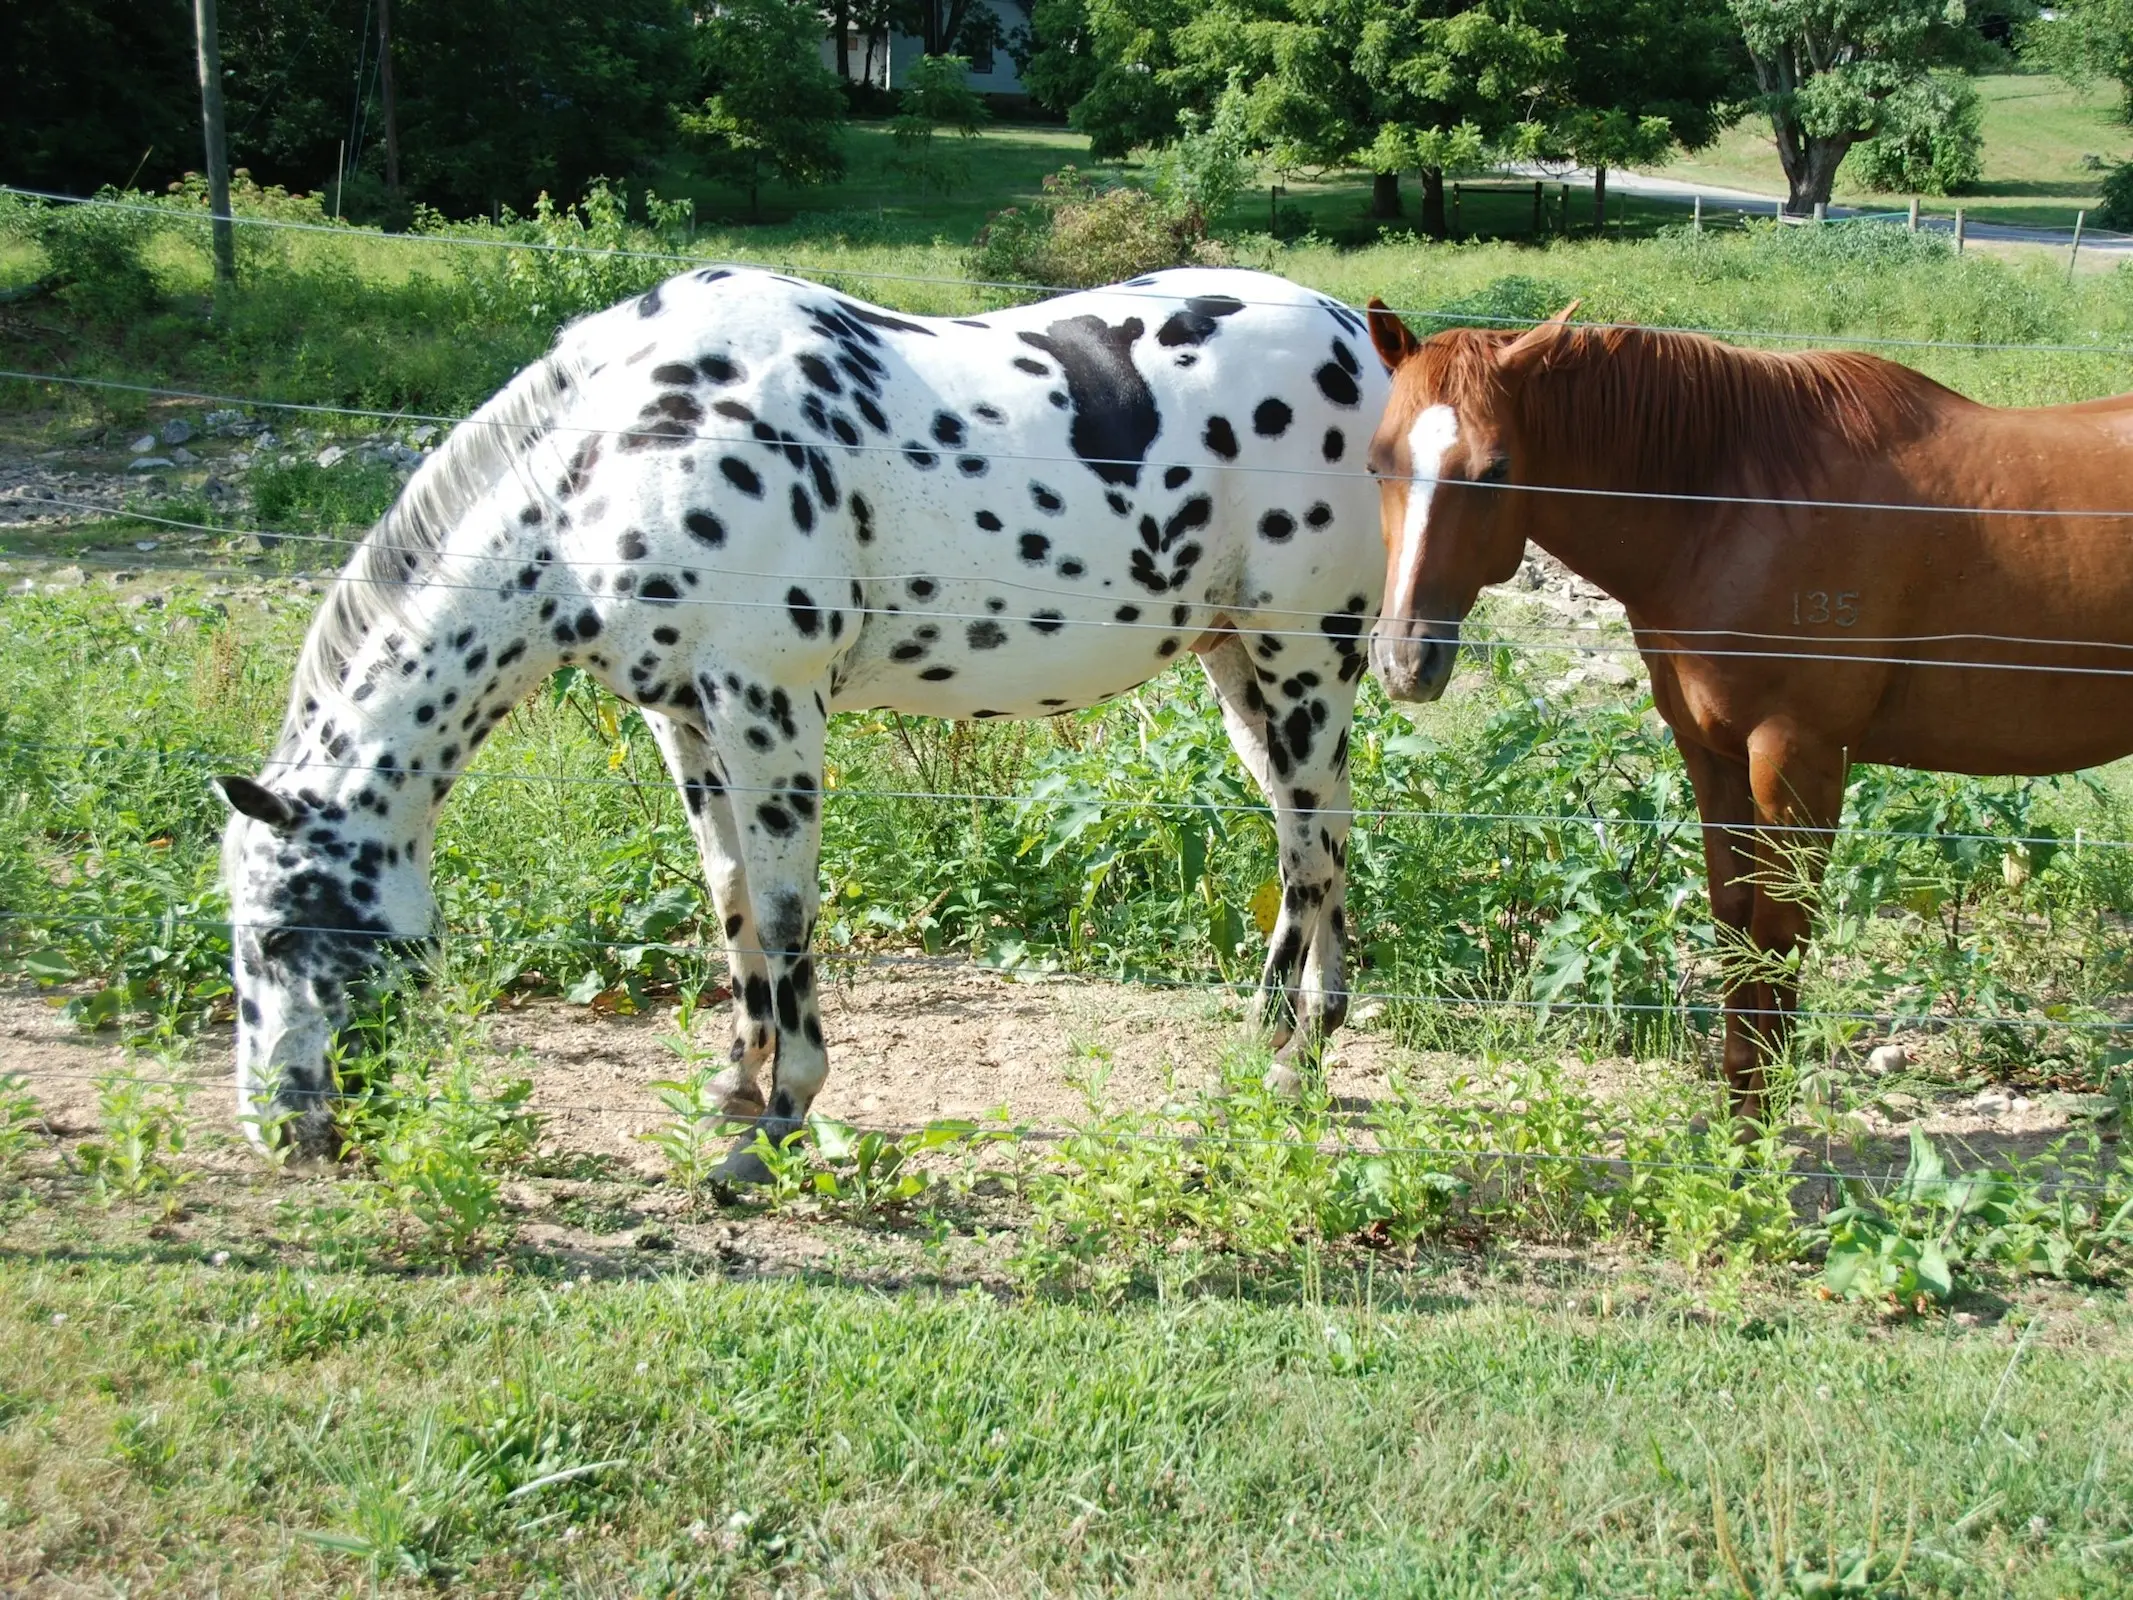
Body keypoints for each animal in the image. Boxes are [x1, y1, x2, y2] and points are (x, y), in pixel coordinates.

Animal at [212, 266, 1382, 1177]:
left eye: (275, 933)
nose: (277, 1128)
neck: (617, 457)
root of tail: (1361, 336)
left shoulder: (768, 699)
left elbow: (784, 913)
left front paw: (779, 1118)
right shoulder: (684, 719)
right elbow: (730, 897)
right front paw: (735, 1080)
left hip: (1301, 656)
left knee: (1306, 852)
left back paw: (1271, 1058)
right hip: (1241, 667)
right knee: (1320, 828)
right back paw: (1318, 1038)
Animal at [1365, 307, 2133, 1117]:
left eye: (1495, 470)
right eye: (1377, 464)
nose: (1404, 660)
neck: (1733, 509)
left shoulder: (1799, 760)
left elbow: (1777, 934)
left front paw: (1759, 1130)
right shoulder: (1714, 755)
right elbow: (1734, 923)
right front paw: (1736, 1119)